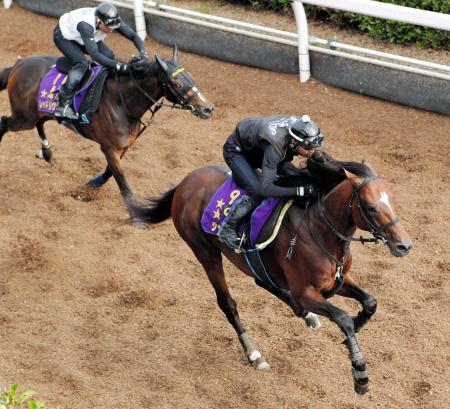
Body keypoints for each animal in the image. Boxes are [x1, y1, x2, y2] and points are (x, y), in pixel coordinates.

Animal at [0, 46, 214, 225]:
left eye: (190, 77)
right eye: (176, 83)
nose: (208, 109)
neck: (122, 102)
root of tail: (18, 65)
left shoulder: (124, 145)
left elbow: (111, 171)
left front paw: (93, 183)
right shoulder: (109, 147)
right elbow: (123, 182)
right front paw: (137, 217)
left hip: (36, 113)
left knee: (40, 122)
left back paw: (47, 151)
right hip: (23, 118)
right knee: (4, 122)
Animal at [129, 158, 412, 394]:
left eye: (391, 200)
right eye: (371, 207)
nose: (404, 245)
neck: (319, 231)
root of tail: (185, 183)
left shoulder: (338, 280)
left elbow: (370, 301)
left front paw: (355, 325)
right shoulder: (306, 291)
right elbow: (342, 318)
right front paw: (359, 372)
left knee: (261, 279)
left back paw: (304, 315)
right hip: (205, 252)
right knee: (227, 303)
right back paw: (254, 354)